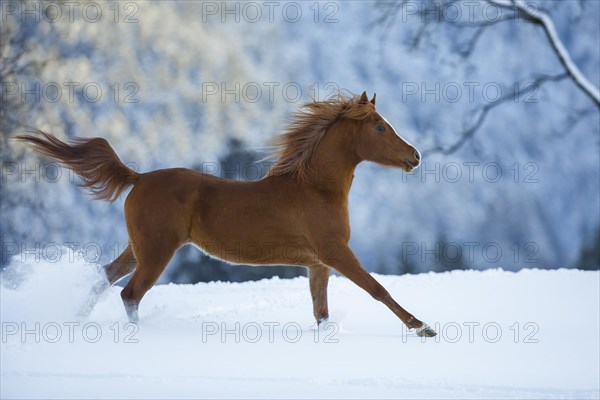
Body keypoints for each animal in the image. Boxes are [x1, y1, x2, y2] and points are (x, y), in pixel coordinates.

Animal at [14, 92, 436, 336]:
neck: (315, 189)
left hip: (139, 248)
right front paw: (422, 327)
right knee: (130, 293)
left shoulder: (317, 264)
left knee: (104, 277)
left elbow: (321, 311)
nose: (415, 156)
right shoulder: (335, 253)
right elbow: (377, 288)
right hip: (157, 251)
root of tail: (140, 177)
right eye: (380, 127)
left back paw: (73, 322)